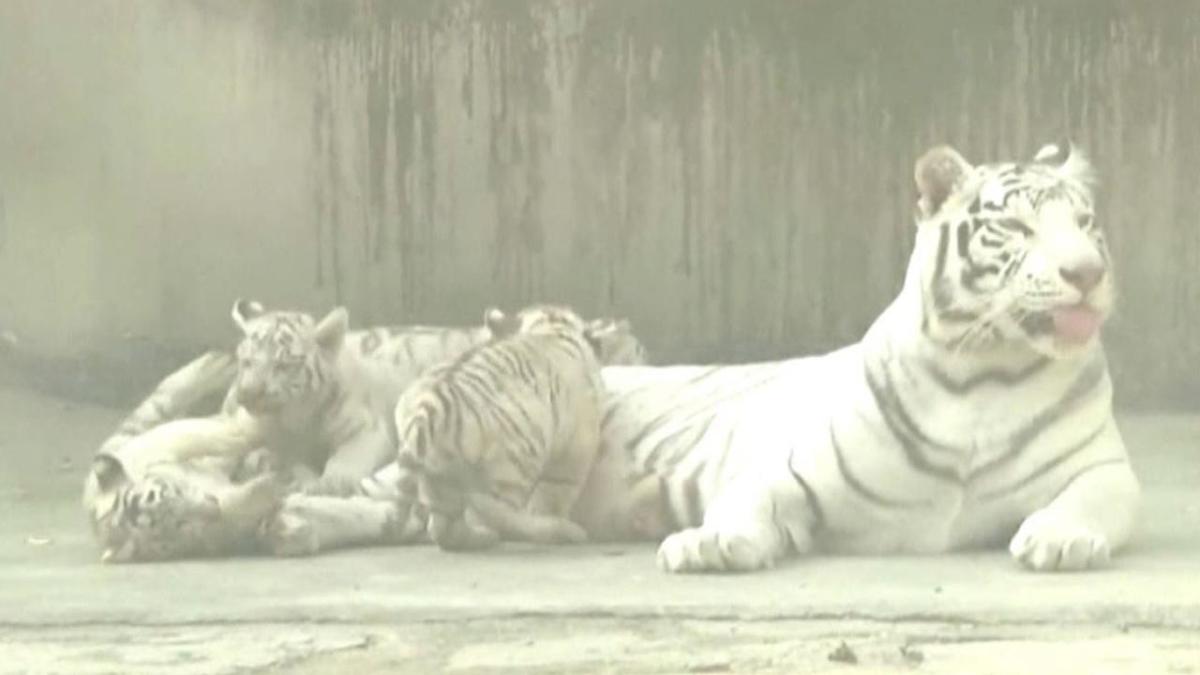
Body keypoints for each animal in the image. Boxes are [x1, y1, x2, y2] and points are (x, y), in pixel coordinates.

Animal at [604, 141, 1137, 571]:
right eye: (1015, 226)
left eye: (1085, 223)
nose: (1087, 272)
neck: (984, 373)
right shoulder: (790, 469)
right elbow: (746, 499)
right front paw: (708, 543)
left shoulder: (1102, 467)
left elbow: (1092, 496)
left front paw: (1059, 538)